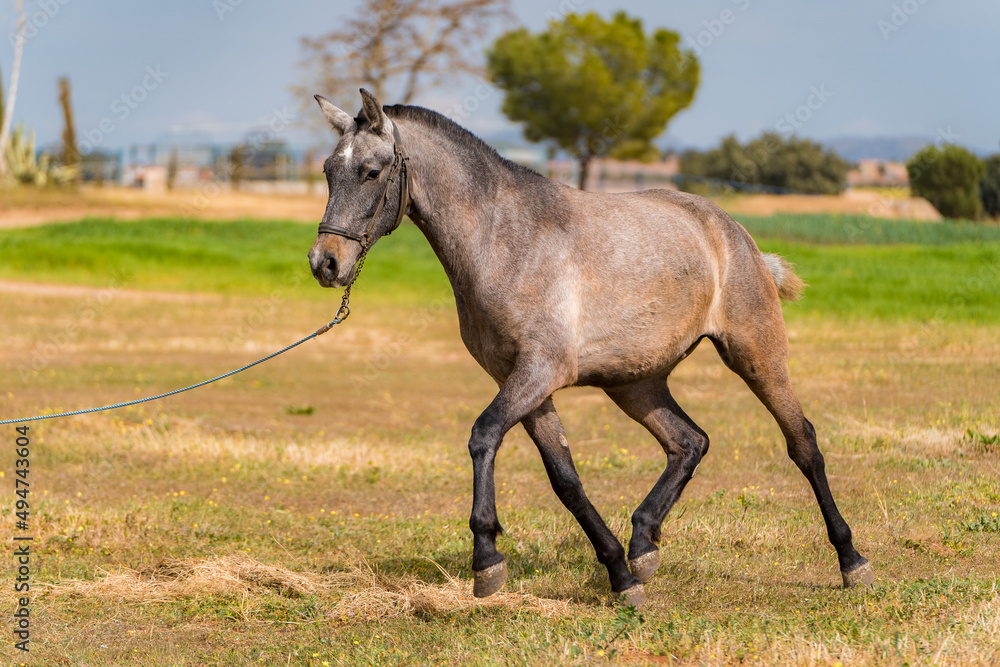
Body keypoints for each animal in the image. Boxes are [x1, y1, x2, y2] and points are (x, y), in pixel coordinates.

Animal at [307, 89, 874, 607]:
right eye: (329, 171)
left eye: (372, 171)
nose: (325, 262)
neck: (504, 239)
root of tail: (735, 234)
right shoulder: (522, 382)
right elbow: (566, 480)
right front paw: (619, 574)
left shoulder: (539, 371)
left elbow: (483, 436)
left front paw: (487, 558)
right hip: (635, 384)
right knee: (689, 443)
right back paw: (643, 546)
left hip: (756, 355)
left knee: (802, 443)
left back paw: (851, 560)